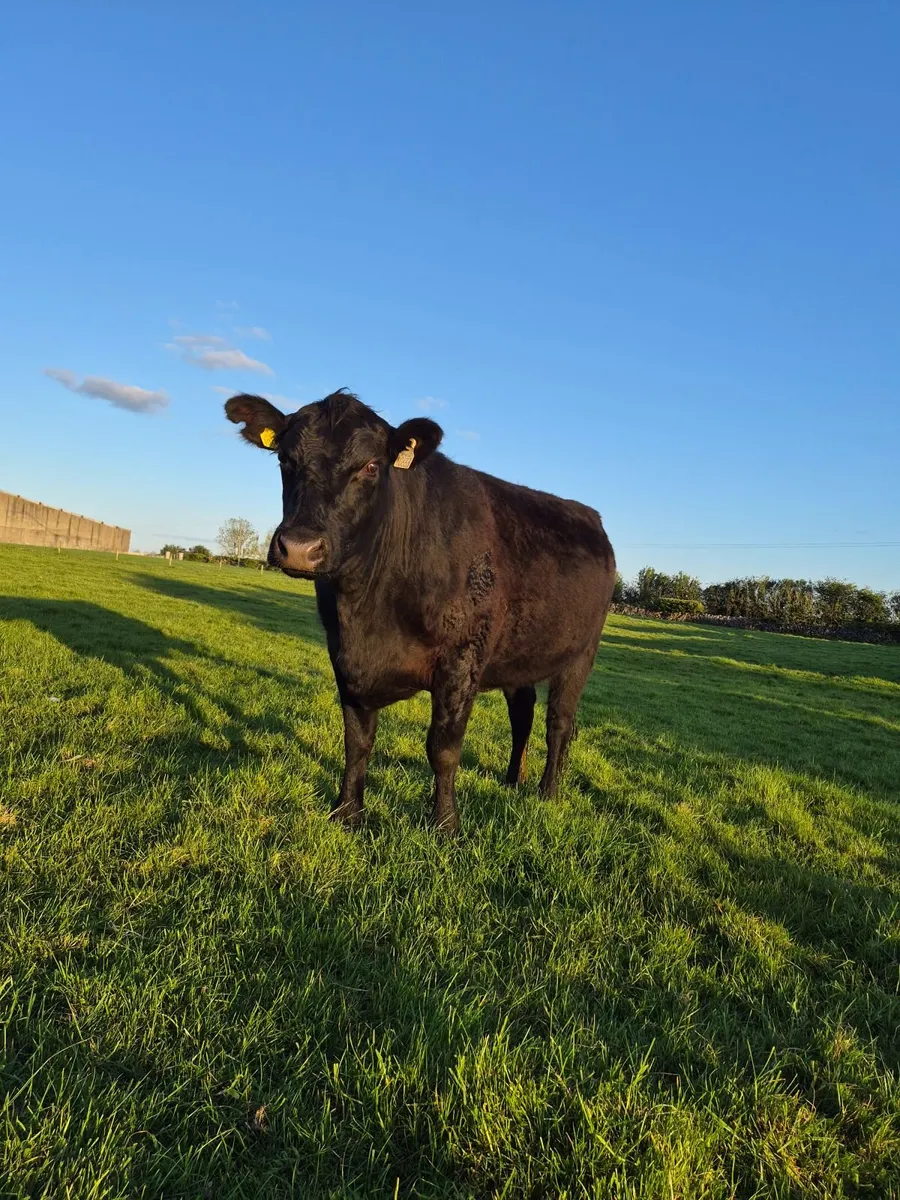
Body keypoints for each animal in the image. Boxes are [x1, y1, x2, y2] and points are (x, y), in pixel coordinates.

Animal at [225, 388, 616, 833]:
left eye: (371, 466)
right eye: (284, 460)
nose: (299, 547)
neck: (367, 612)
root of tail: (591, 517)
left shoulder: (462, 659)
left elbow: (443, 748)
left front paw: (445, 825)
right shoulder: (343, 657)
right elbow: (357, 742)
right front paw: (347, 813)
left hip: (580, 654)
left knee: (559, 723)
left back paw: (548, 792)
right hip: (519, 655)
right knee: (523, 715)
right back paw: (513, 780)